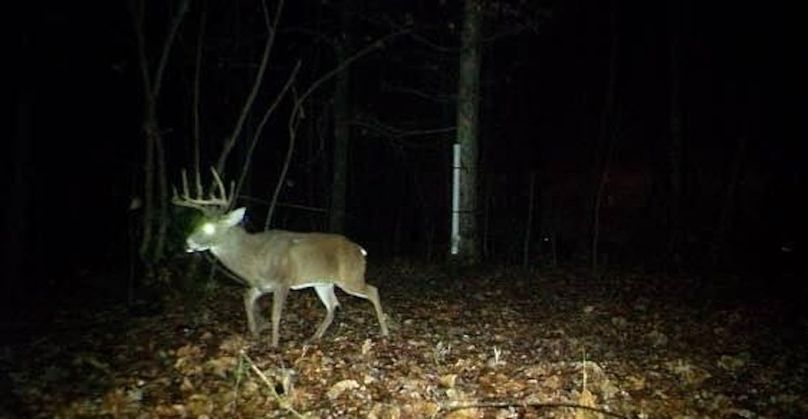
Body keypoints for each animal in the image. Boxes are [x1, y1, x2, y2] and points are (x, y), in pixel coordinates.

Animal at [172, 168, 389, 347]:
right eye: (197, 223)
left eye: (209, 227)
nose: (187, 243)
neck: (253, 257)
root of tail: (360, 250)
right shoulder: (261, 285)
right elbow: (246, 298)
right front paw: (254, 334)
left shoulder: (283, 281)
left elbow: (276, 314)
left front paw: (274, 344)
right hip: (322, 282)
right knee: (333, 305)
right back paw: (314, 337)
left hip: (350, 277)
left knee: (372, 291)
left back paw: (385, 331)